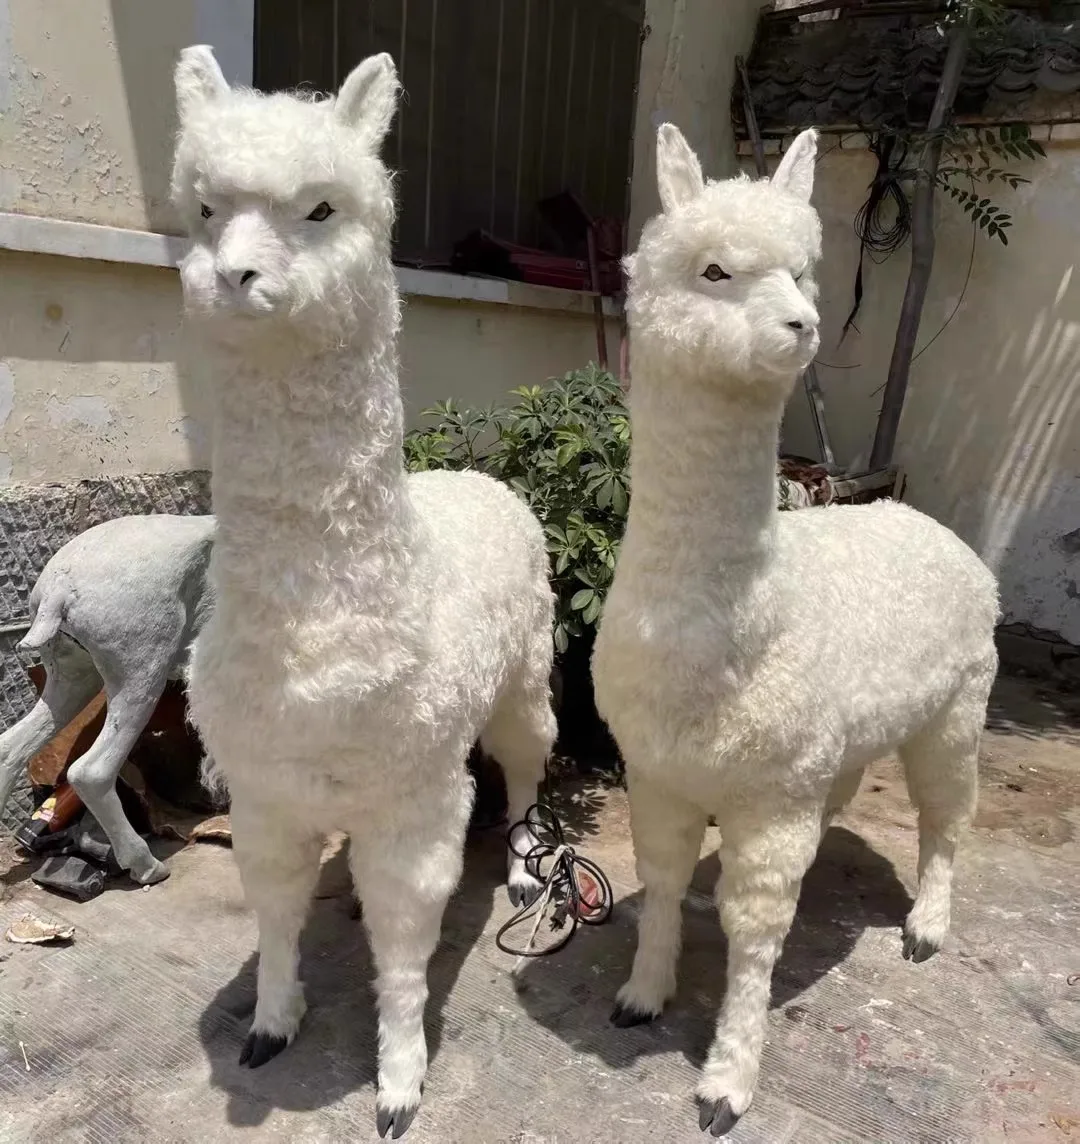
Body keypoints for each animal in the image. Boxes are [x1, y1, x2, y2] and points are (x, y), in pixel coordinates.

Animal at [0, 513, 215, 884]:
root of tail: (58, 588)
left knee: (10, 746)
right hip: (141, 665)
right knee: (91, 771)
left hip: (72, 673)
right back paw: (146, 866)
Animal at [171, 48, 555, 1138]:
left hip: (527, 676)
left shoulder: (410, 797)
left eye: (321, 207)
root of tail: (479, 479)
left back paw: (524, 869)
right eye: (204, 207)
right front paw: (271, 1023)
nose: (234, 276)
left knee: (528, 767)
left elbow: (403, 937)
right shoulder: (265, 788)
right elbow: (274, 907)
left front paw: (398, 1079)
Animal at [591, 124, 999, 1137]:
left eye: (806, 271)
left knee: (948, 816)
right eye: (714, 270)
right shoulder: (657, 768)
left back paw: (929, 926)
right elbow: (661, 879)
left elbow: (754, 929)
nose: (802, 326)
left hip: (959, 706)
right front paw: (642, 994)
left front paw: (728, 1080)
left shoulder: (770, 795)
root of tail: (923, 521)